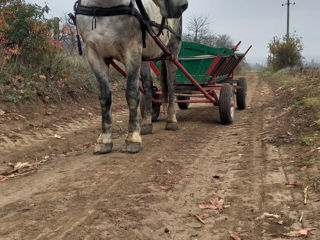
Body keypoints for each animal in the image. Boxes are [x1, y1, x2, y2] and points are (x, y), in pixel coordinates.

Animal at [76, 0, 189, 153]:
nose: (182, 5)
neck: (104, 8)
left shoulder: (132, 51)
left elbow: (131, 94)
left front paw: (132, 139)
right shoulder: (94, 56)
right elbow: (104, 97)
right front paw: (104, 140)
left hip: (172, 51)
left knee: (171, 84)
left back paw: (171, 120)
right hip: (145, 57)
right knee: (147, 84)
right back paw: (147, 123)